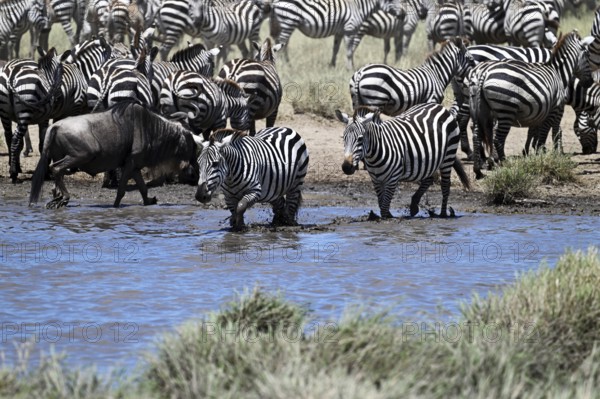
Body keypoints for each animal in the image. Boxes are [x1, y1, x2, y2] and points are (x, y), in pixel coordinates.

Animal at [268, 0, 400, 69]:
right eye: (391, 0)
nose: (403, 14)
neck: (359, 7)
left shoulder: (339, 32)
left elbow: (335, 49)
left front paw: (332, 65)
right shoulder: (349, 29)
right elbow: (349, 51)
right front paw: (350, 68)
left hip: (282, 23)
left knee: (282, 43)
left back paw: (285, 63)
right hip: (289, 21)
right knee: (282, 43)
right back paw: (283, 65)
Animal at [336, 104, 472, 219]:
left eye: (360, 139)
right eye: (344, 138)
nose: (346, 167)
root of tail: (440, 107)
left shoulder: (393, 178)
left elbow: (384, 207)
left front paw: (386, 219)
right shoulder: (375, 179)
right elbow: (381, 202)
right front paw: (387, 215)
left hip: (448, 155)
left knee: (445, 185)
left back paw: (443, 214)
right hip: (428, 160)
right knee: (428, 179)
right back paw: (414, 206)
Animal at [468, 32, 596, 179]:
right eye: (587, 55)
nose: (589, 82)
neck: (559, 73)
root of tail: (483, 73)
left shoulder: (539, 110)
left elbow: (535, 132)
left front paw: (534, 153)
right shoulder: (555, 109)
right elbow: (550, 133)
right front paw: (548, 155)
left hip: (479, 110)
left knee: (477, 136)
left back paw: (479, 169)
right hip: (506, 111)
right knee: (498, 139)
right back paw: (504, 164)